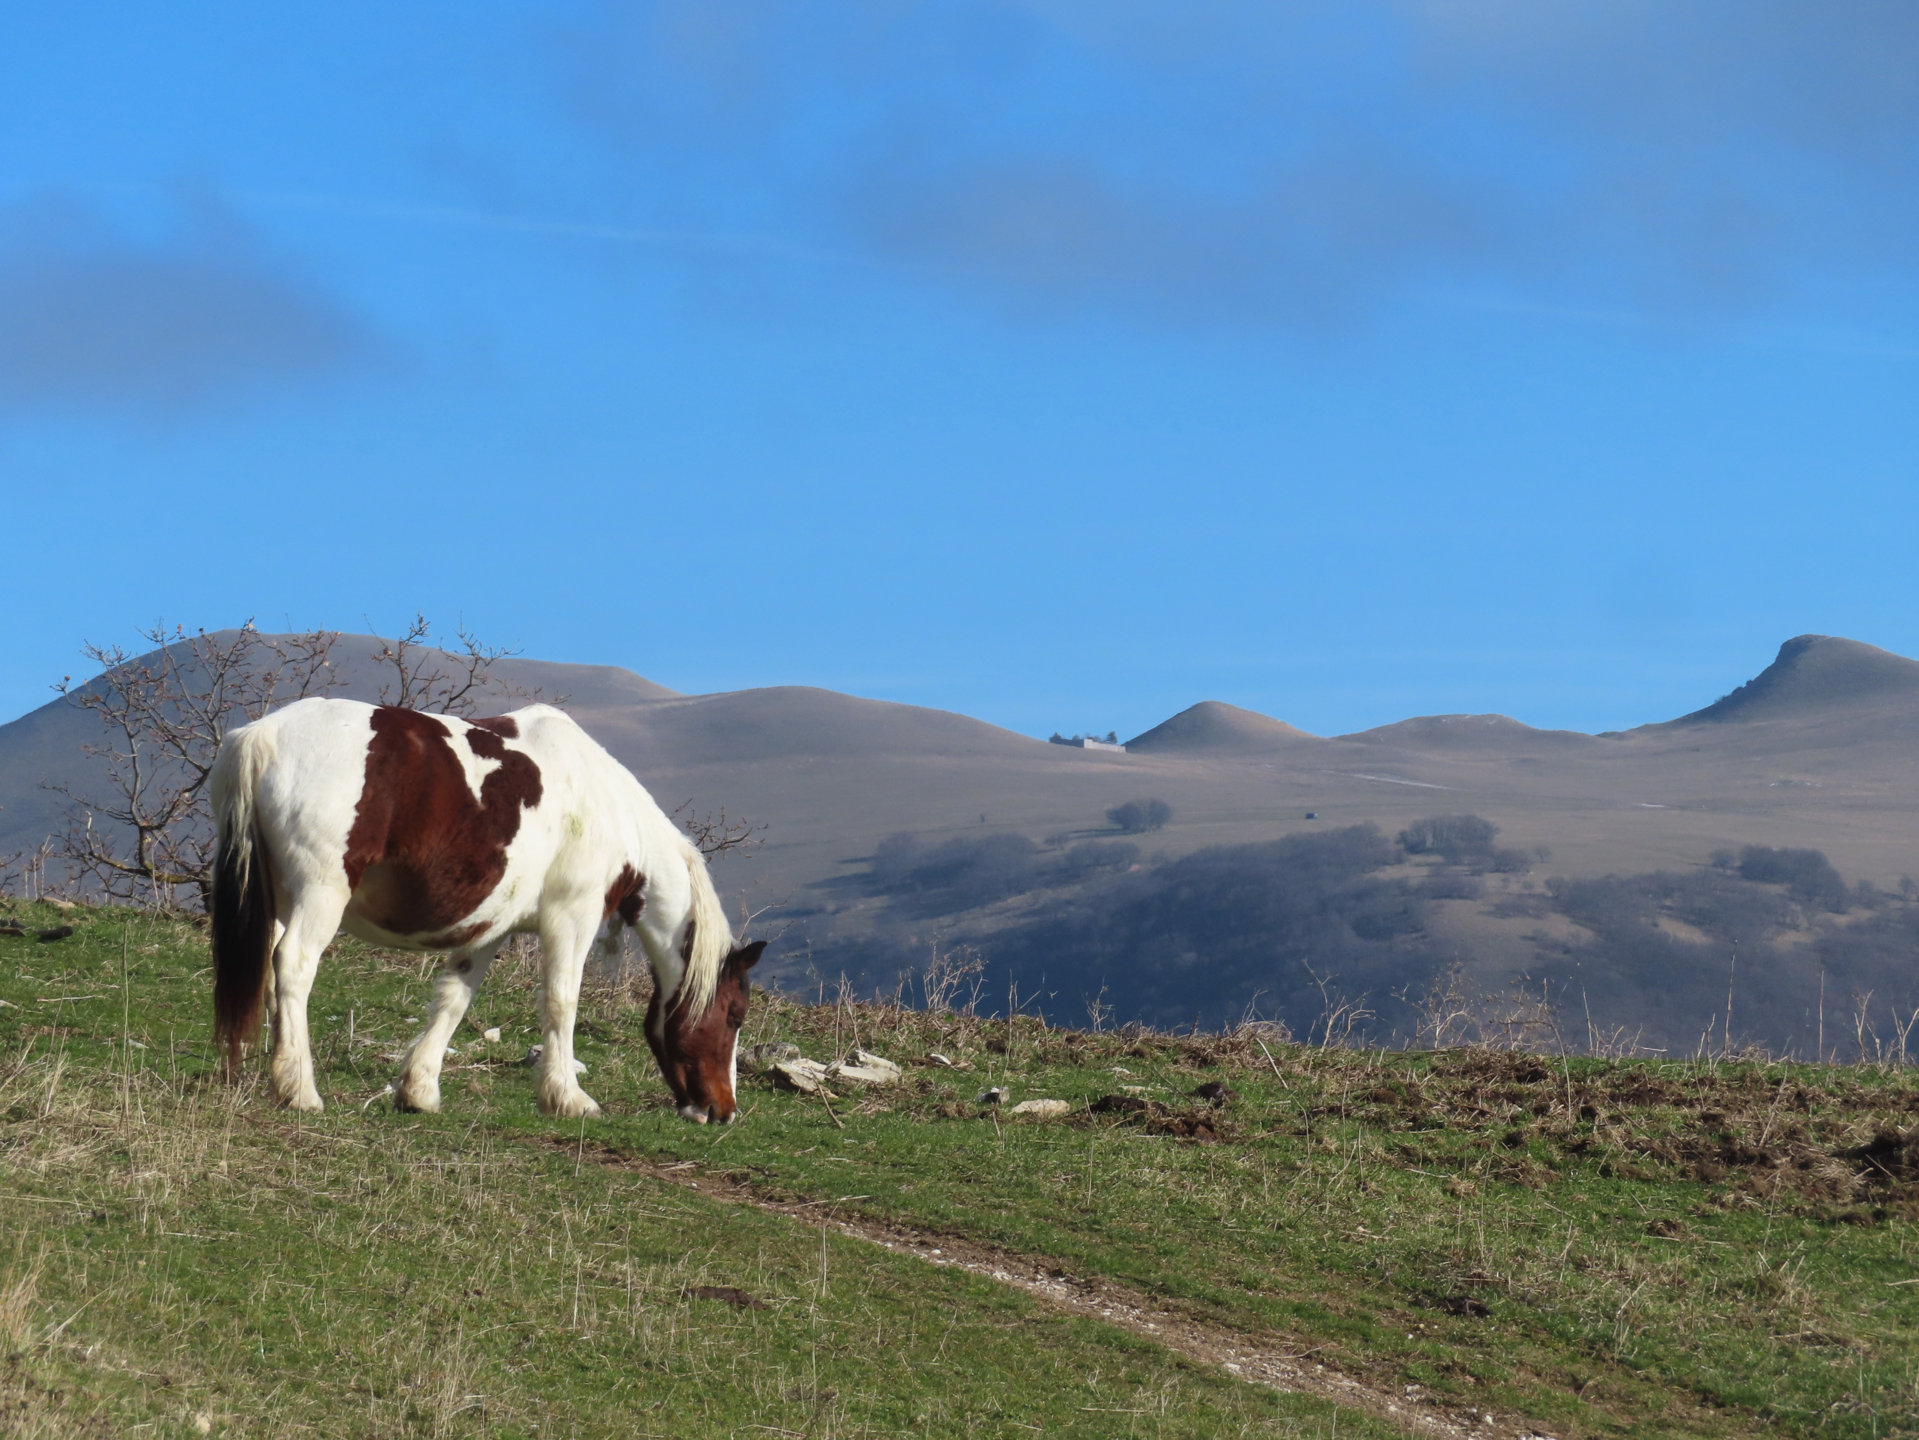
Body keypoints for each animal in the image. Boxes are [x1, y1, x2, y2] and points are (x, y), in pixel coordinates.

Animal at [210, 698, 763, 1128]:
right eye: (734, 1015)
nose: (723, 1110)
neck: (606, 806)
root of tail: (265, 734)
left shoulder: (488, 930)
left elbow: (455, 999)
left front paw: (419, 1090)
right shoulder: (572, 918)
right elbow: (562, 1002)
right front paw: (567, 1097)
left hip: (280, 900)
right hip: (321, 895)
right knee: (293, 966)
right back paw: (299, 1089)